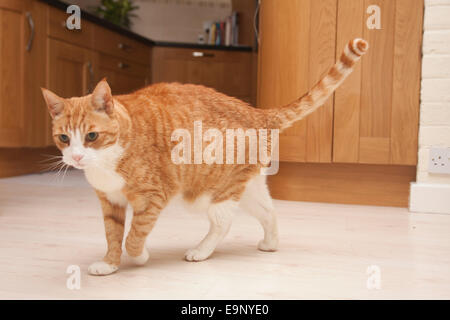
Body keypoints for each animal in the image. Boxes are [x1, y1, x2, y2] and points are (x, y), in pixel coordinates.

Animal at [40, 38, 368, 276]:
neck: (106, 162)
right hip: (246, 187)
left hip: (208, 193)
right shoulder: (110, 202)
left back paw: (200, 251)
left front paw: (141, 256)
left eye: (91, 136)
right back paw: (270, 243)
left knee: (224, 223)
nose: (76, 157)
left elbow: (133, 237)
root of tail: (258, 112)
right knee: (269, 212)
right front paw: (109, 264)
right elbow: (112, 235)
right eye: (64, 138)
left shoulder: (152, 197)